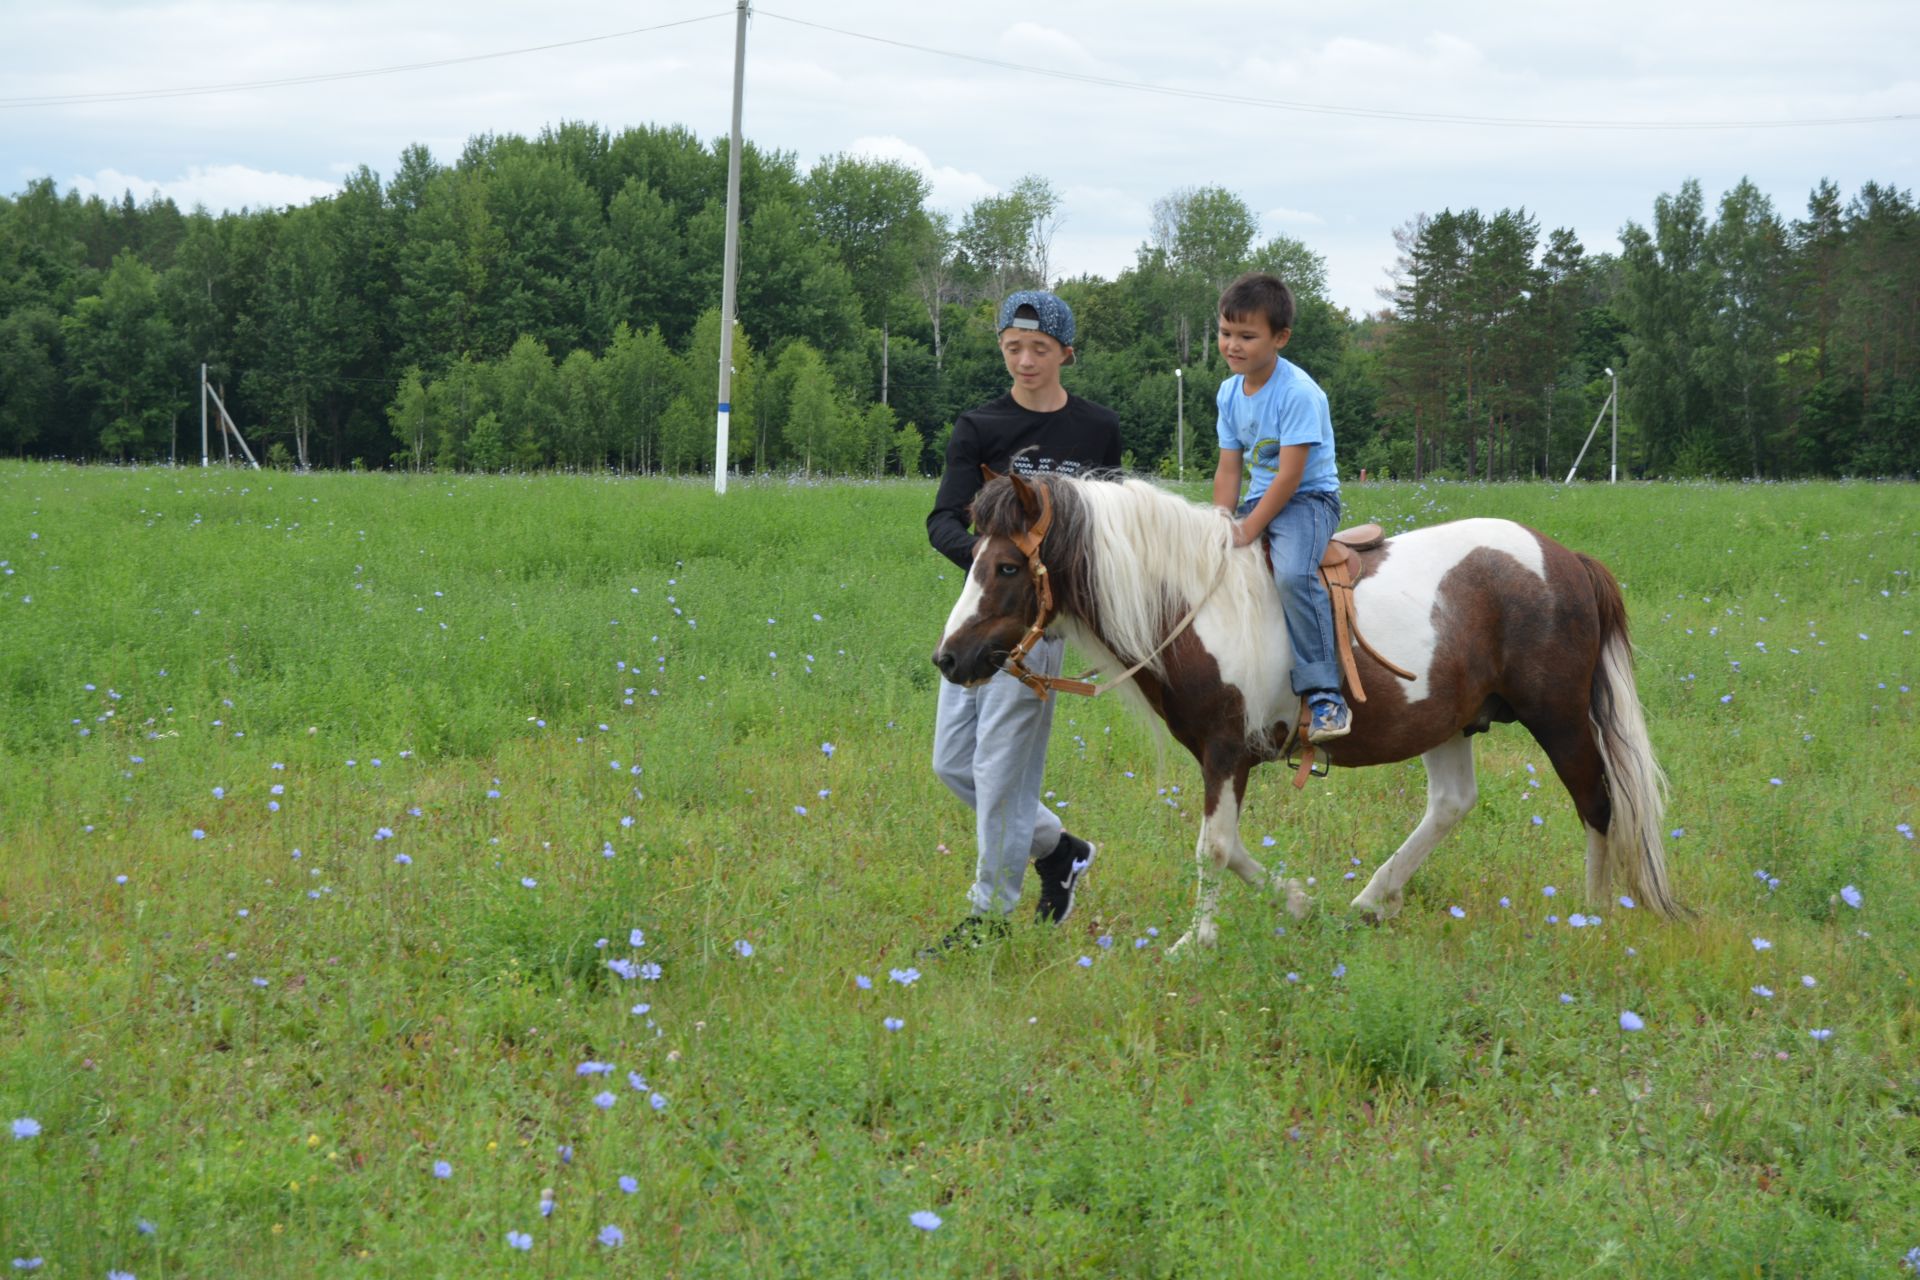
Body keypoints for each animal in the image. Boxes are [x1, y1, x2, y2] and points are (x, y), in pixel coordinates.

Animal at [929, 470, 1681, 951]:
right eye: (974, 556)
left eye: (1006, 567)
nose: (949, 659)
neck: (1198, 603)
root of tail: (1567, 559)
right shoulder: (1227, 756)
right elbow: (1231, 850)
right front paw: (1300, 904)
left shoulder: (1227, 751)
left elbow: (1215, 847)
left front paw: (1198, 939)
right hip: (1448, 720)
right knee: (1451, 805)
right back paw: (1372, 900)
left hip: (1559, 718)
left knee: (1597, 803)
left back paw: (1590, 915)